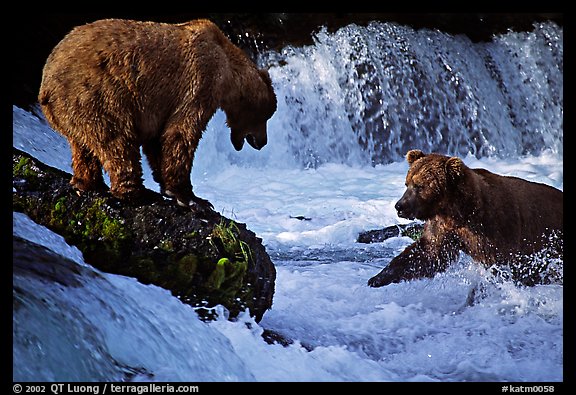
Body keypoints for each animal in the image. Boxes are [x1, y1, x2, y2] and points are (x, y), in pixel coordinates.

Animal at [38, 17, 276, 210]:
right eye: (266, 116)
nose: (262, 142)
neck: (229, 74)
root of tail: (46, 84)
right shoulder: (200, 82)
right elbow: (181, 133)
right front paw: (189, 196)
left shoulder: (159, 108)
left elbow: (157, 139)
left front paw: (168, 185)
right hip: (96, 95)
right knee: (116, 141)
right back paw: (135, 193)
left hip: (68, 110)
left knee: (82, 145)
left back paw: (86, 183)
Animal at [368, 150, 564, 290]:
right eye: (407, 183)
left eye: (419, 186)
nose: (399, 206)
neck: (459, 210)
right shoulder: (443, 227)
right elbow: (427, 253)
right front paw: (377, 278)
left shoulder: (496, 227)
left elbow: (503, 263)